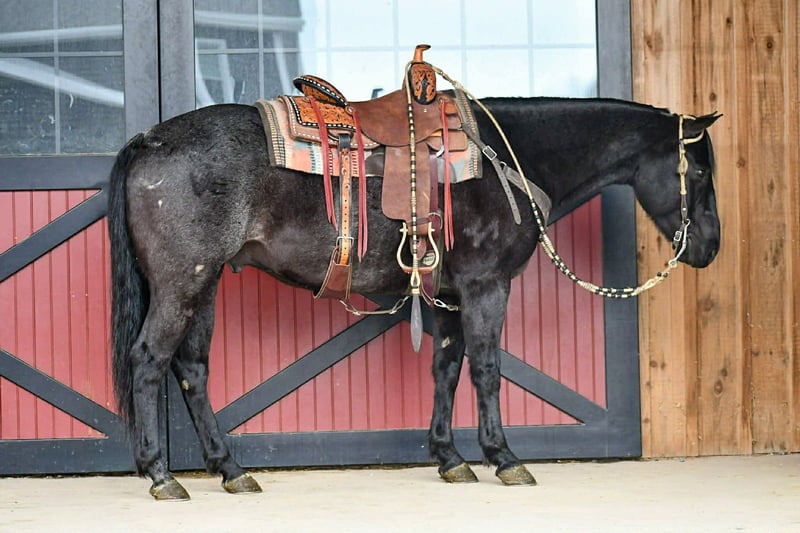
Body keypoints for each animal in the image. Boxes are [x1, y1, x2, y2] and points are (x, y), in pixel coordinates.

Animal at [108, 95, 721, 500]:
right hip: (182, 282)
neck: (510, 160)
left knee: (191, 367)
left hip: (204, 282)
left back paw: (230, 469)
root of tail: (147, 140)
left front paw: (450, 458)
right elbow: (486, 370)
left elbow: (446, 370)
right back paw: (160, 474)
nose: (710, 248)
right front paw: (504, 458)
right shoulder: (486, 285)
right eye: (700, 172)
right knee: (149, 360)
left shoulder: (449, 294)